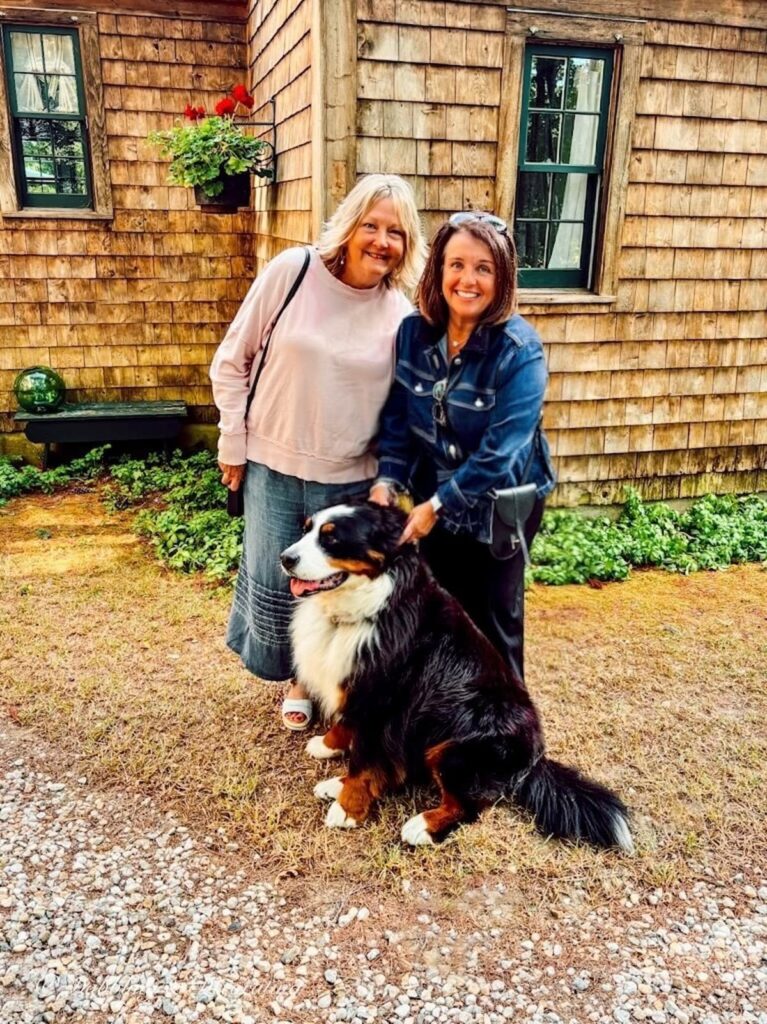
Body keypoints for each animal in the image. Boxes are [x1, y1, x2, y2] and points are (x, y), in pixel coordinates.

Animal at [278, 499, 630, 851]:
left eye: (332, 539)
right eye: (307, 530)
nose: (285, 558)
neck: (375, 605)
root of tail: (536, 760)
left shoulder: (383, 702)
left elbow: (364, 763)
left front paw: (349, 809)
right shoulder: (359, 685)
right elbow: (348, 727)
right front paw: (327, 745)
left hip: (455, 748)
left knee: (468, 806)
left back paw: (422, 826)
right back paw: (335, 784)